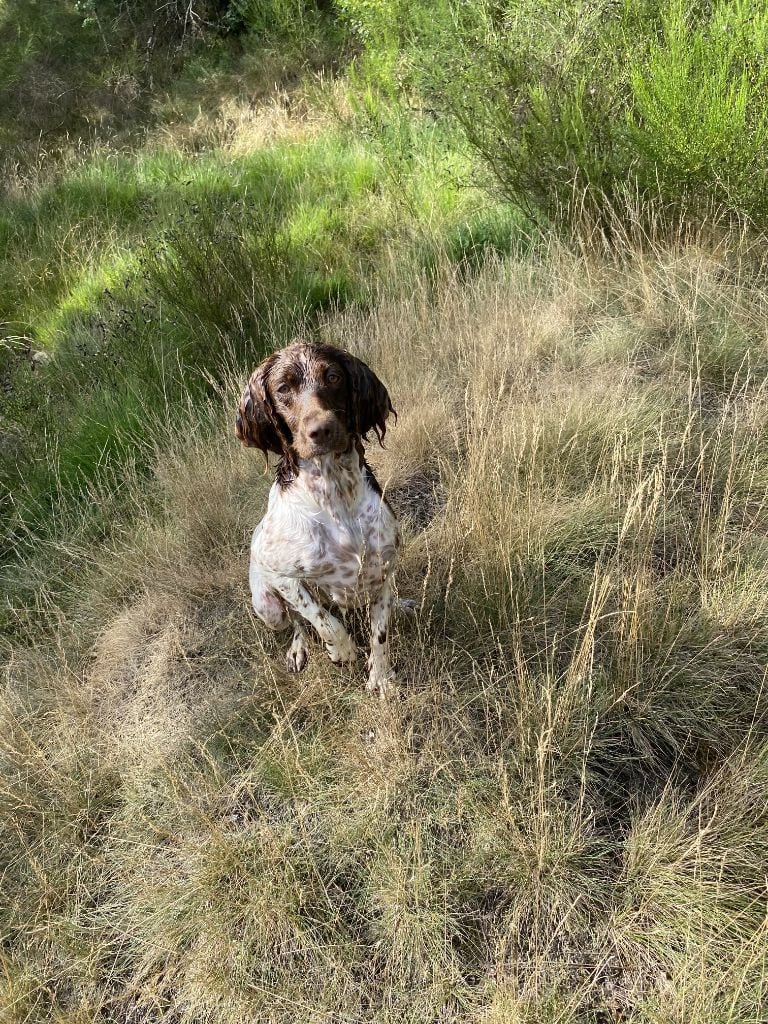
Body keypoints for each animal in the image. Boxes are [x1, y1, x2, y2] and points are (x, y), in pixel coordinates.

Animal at [234, 342, 403, 696]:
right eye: (283, 388)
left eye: (333, 376)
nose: (321, 430)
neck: (336, 494)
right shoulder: (280, 574)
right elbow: (320, 617)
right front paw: (342, 650)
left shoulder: (384, 572)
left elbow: (380, 635)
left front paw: (380, 678)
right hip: (267, 607)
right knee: (298, 621)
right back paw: (300, 649)